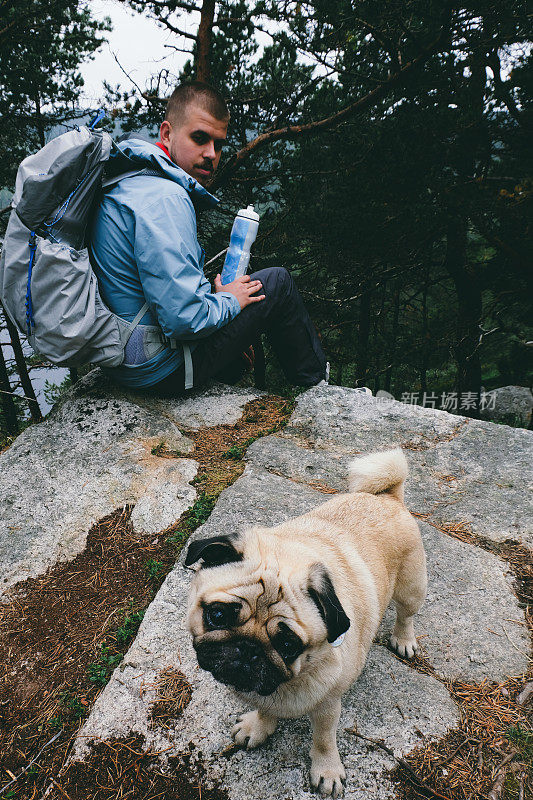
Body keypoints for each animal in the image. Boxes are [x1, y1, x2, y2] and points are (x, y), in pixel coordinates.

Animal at [185, 446, 426, 796]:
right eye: (217, 615)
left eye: (287, 644)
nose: (247, 649)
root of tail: (388, 497)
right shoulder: (264, 690)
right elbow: (266, 708)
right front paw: (259, 726)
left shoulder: (328, 704)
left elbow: (323, 739)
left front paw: (327, 770)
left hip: (411, 587)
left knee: (406, 614)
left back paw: (404, 640)